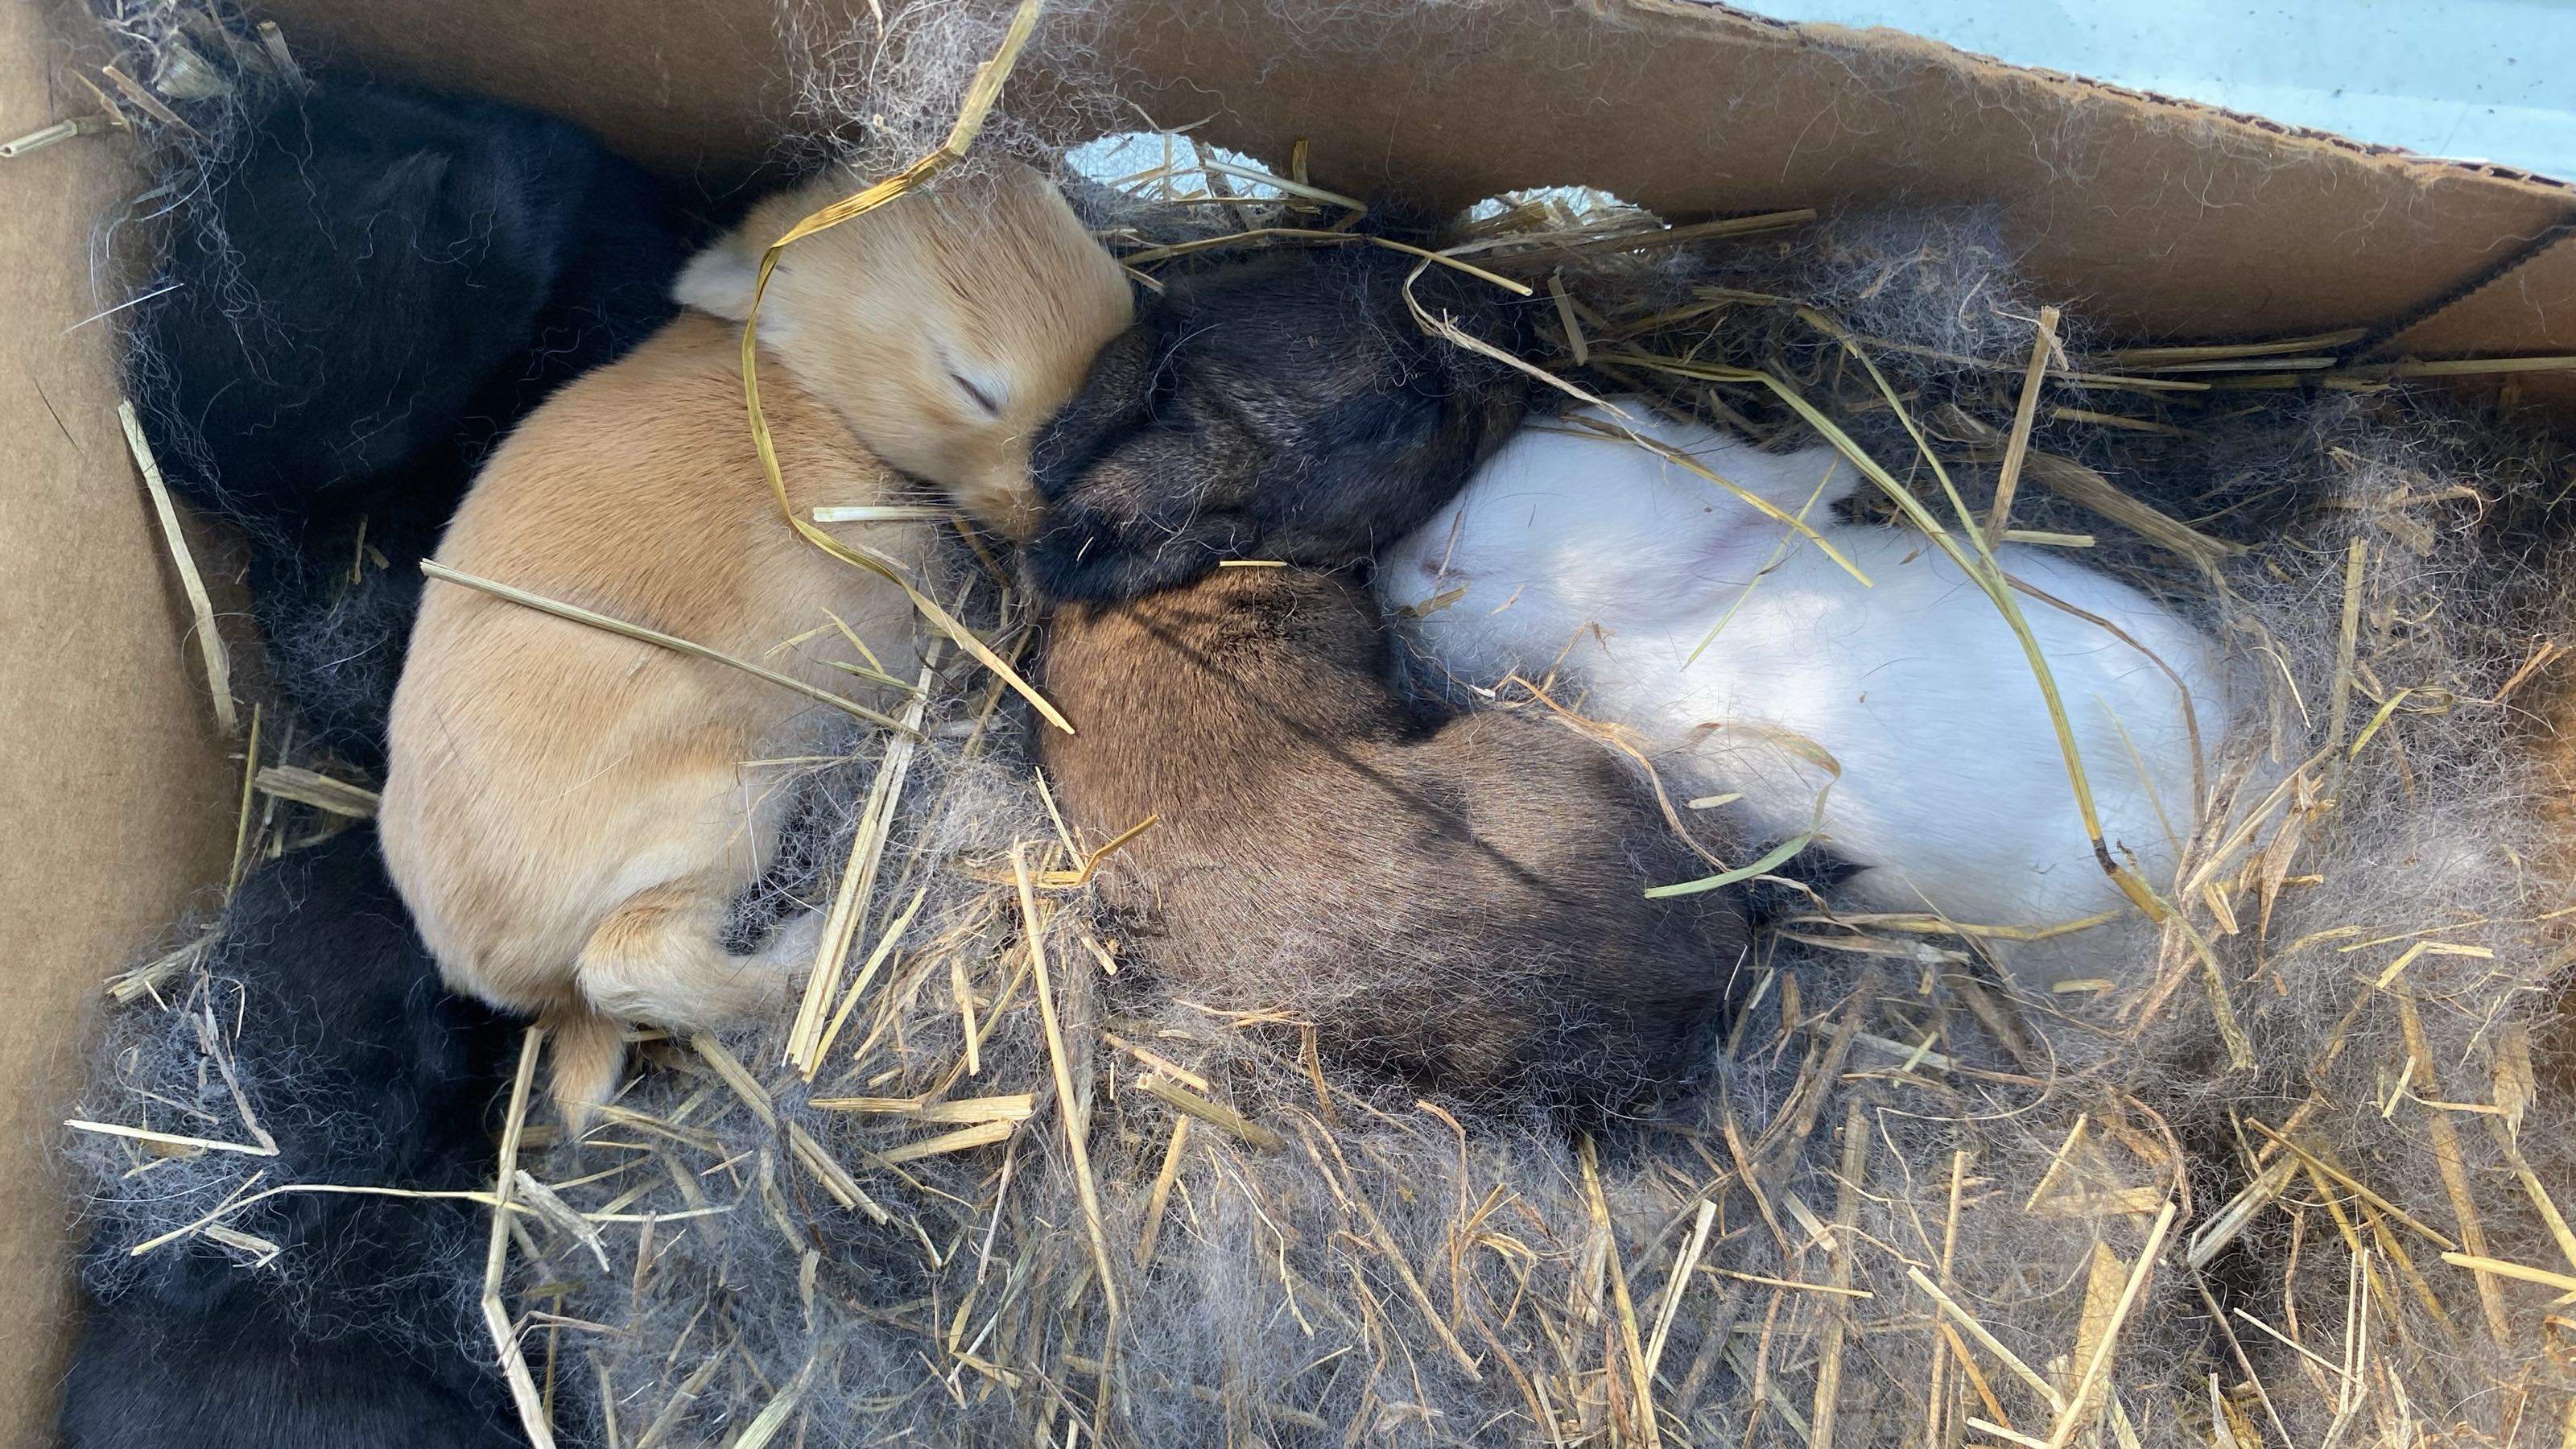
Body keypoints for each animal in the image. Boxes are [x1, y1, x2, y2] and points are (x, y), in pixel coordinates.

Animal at [380, 161, 1134, 1123]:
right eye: (970, 385)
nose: (1054, 509)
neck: (795, 384)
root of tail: (496, 975)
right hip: (719, 804)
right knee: (632, 965)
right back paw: (808, 954)